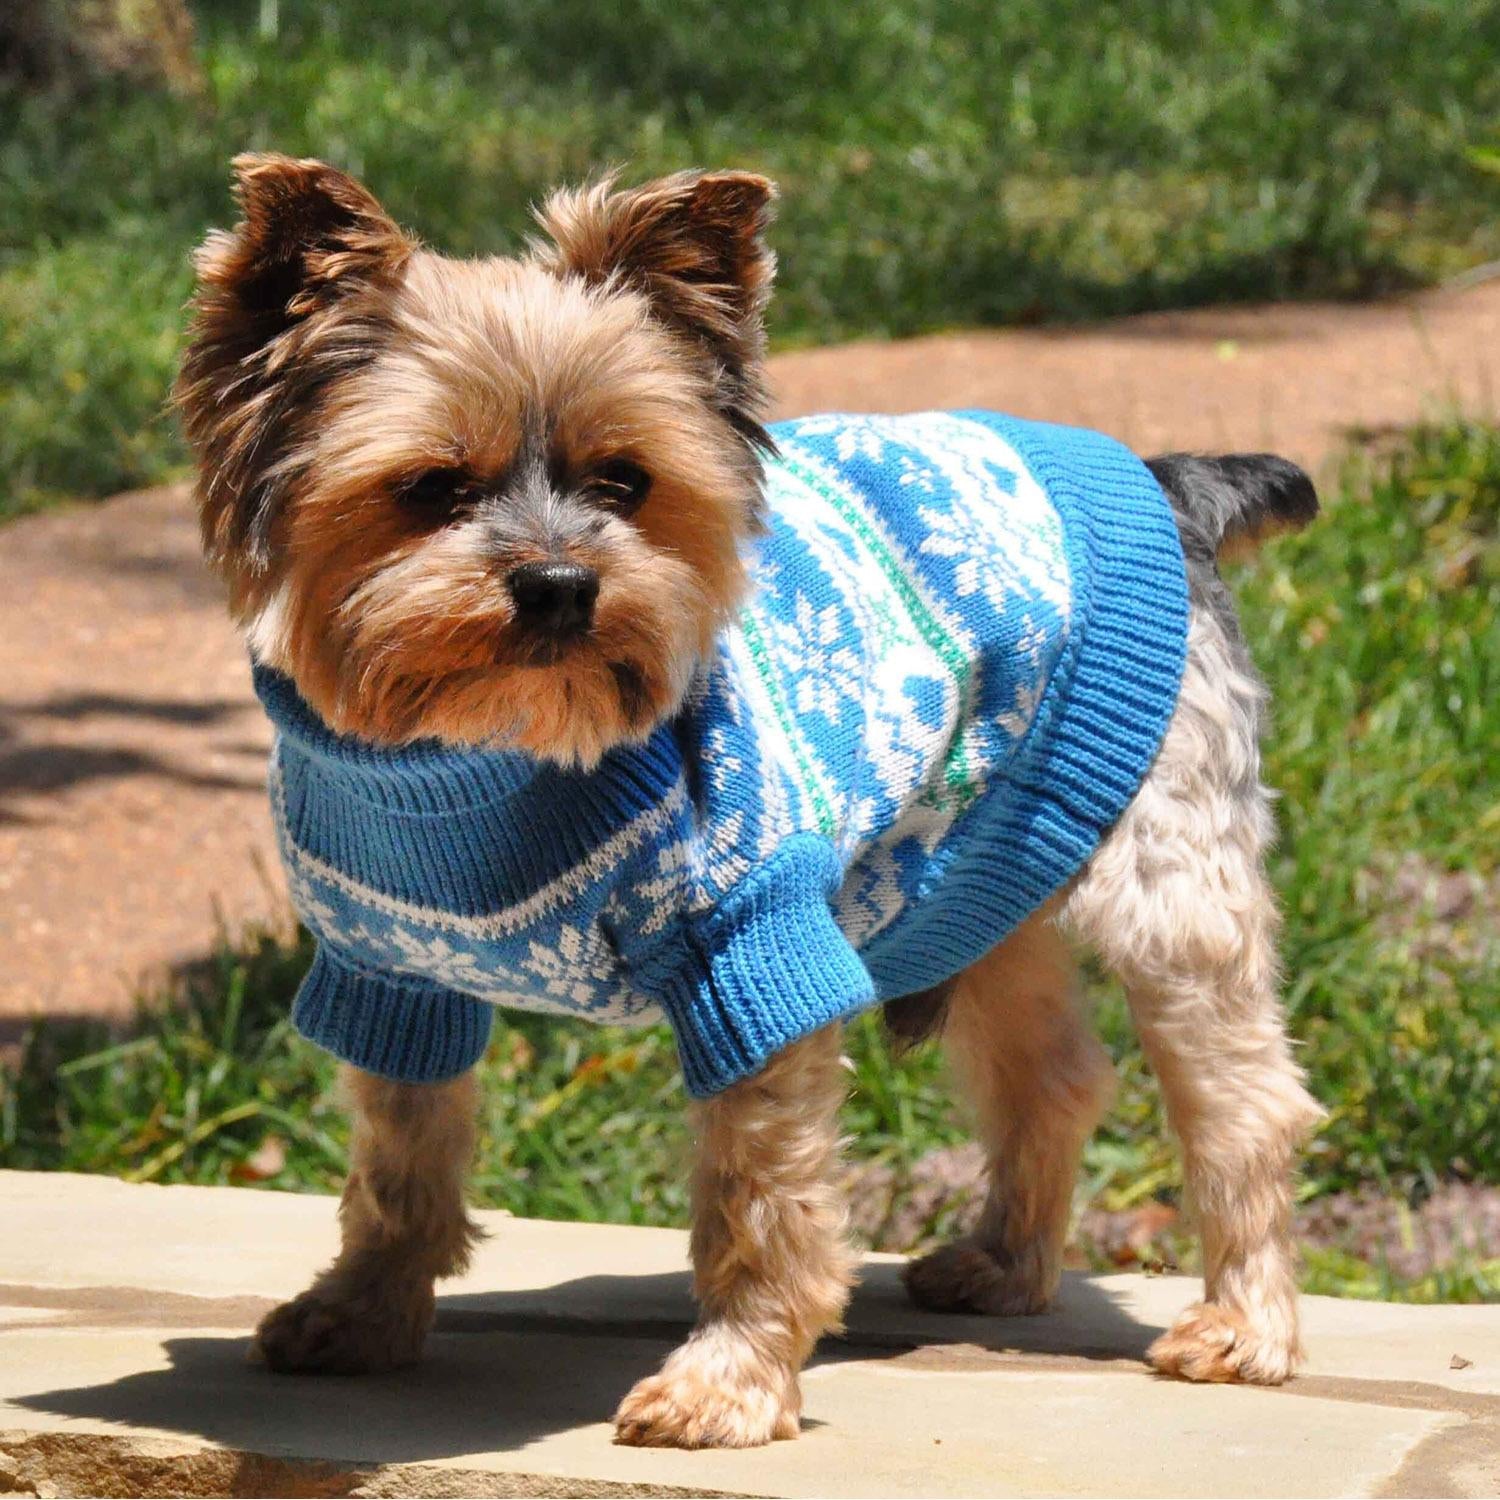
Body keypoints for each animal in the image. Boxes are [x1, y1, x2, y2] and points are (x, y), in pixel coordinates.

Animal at [175, 158, 1326, 1446]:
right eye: (429, 488)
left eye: (626, 480)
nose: (562, 584)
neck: (489, 753)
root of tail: (1170, 482)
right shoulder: (393, 969)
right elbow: (398, 1164)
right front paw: (364, 1315)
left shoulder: (753, 944)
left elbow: (758, 1198)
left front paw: (726, 1382)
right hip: (970, 866)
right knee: (1056, 1074)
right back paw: (1004, 1265)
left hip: (1164, 874)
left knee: (1246, 1102)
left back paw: (1245, 1326)